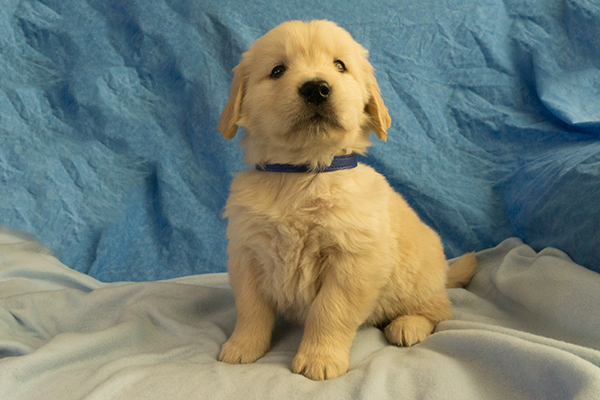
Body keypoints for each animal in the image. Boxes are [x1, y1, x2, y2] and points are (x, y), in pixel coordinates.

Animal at [217, 20, 477, 381]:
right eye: (278, 70)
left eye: (340, 66)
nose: (316, 88)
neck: (303, 174)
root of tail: (443, 275)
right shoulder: (247, 254)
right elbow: (250, 308)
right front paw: (242, 347)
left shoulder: (353, 261)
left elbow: (329, 312)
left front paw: (319, 358)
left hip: (417, 279)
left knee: (440, 311)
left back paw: (408, 325)